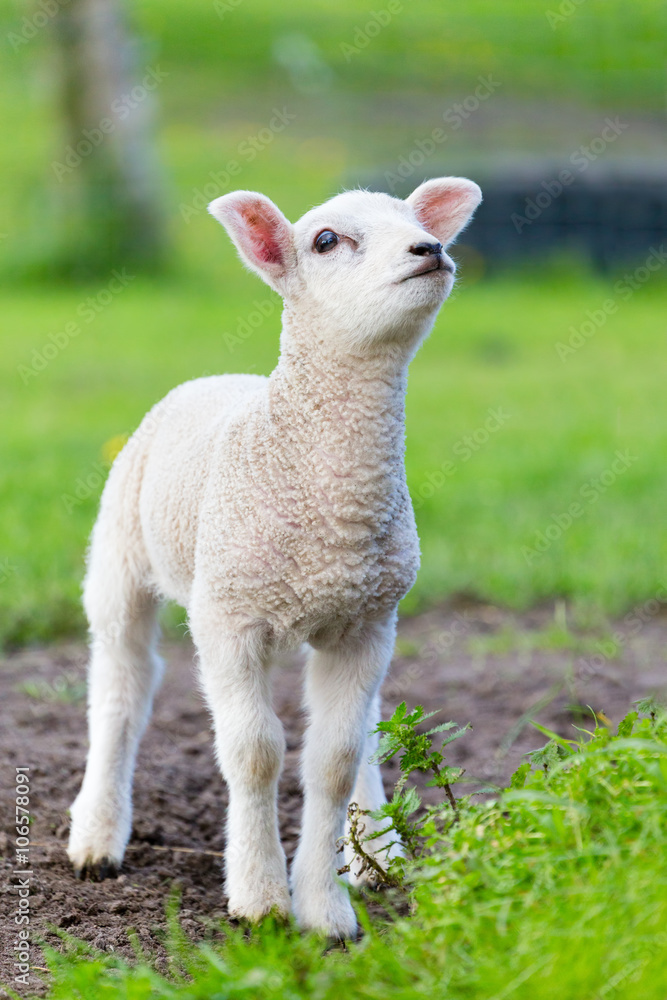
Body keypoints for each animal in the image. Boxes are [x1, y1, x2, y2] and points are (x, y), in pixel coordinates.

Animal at [67, 176, 482, 939]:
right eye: (326, 240)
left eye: (417, 223)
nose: (429, 249)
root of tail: (220, 377)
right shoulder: (228, 619)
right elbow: (255, 753)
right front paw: (260, 900)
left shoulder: (365, 622)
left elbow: (334, 758)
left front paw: (326, 909)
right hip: (120, 558)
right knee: (121, 688)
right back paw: (96, 838)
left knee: (367, 727)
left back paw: (378, 849)